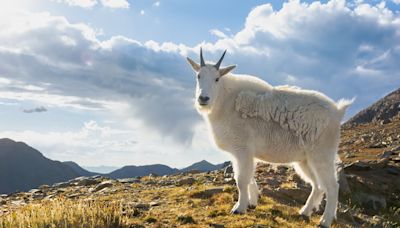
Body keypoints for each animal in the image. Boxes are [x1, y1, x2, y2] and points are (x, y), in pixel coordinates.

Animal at [186, 49, 352, 227]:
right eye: (198, 76)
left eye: (217, 79)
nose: (203, 99)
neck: (225, 102)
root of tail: (337, 112)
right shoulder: (241, 153)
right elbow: (249, 178)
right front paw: (251, 204)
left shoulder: (243, 149)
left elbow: (241, 180)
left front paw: (239, 208)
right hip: (305, 160)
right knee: (318, 185)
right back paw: (305, 212)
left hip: (322, 155)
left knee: (332, 186)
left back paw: (325, 221)